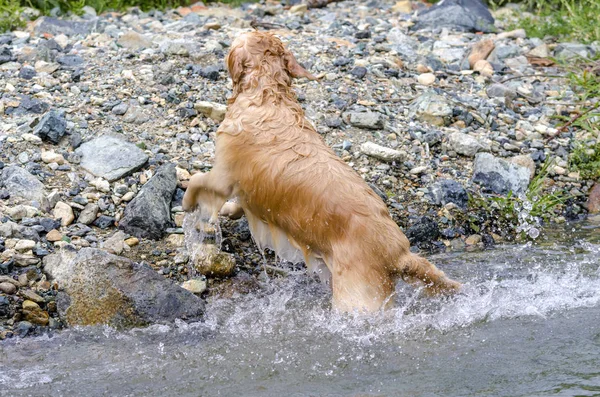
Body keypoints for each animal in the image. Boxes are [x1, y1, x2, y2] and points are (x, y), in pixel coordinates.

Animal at [183, 30, 460, 312]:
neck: (268, 94)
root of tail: (399, 254)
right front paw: (229, 210)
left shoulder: (223, 174)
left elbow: (197, 180)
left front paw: (188, 205)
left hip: (355, 298)